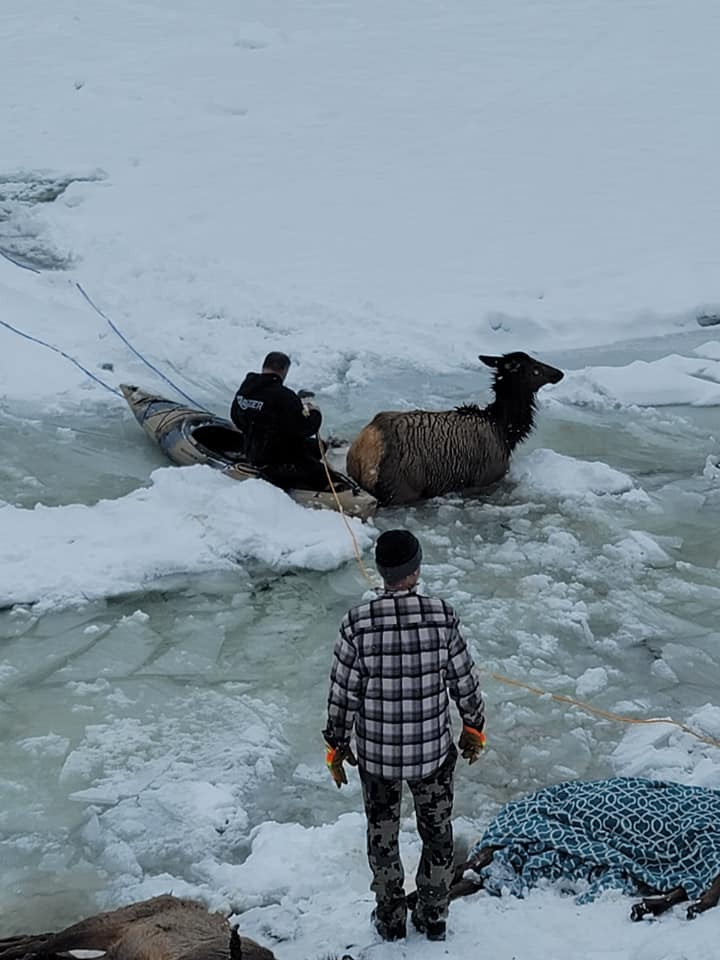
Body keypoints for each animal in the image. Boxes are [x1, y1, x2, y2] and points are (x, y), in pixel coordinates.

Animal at [346, 348, 564, 506]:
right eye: (535, 368)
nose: (559, 373)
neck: (505, 431)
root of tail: (364, 447)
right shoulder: (487, 477)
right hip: (400, 489)